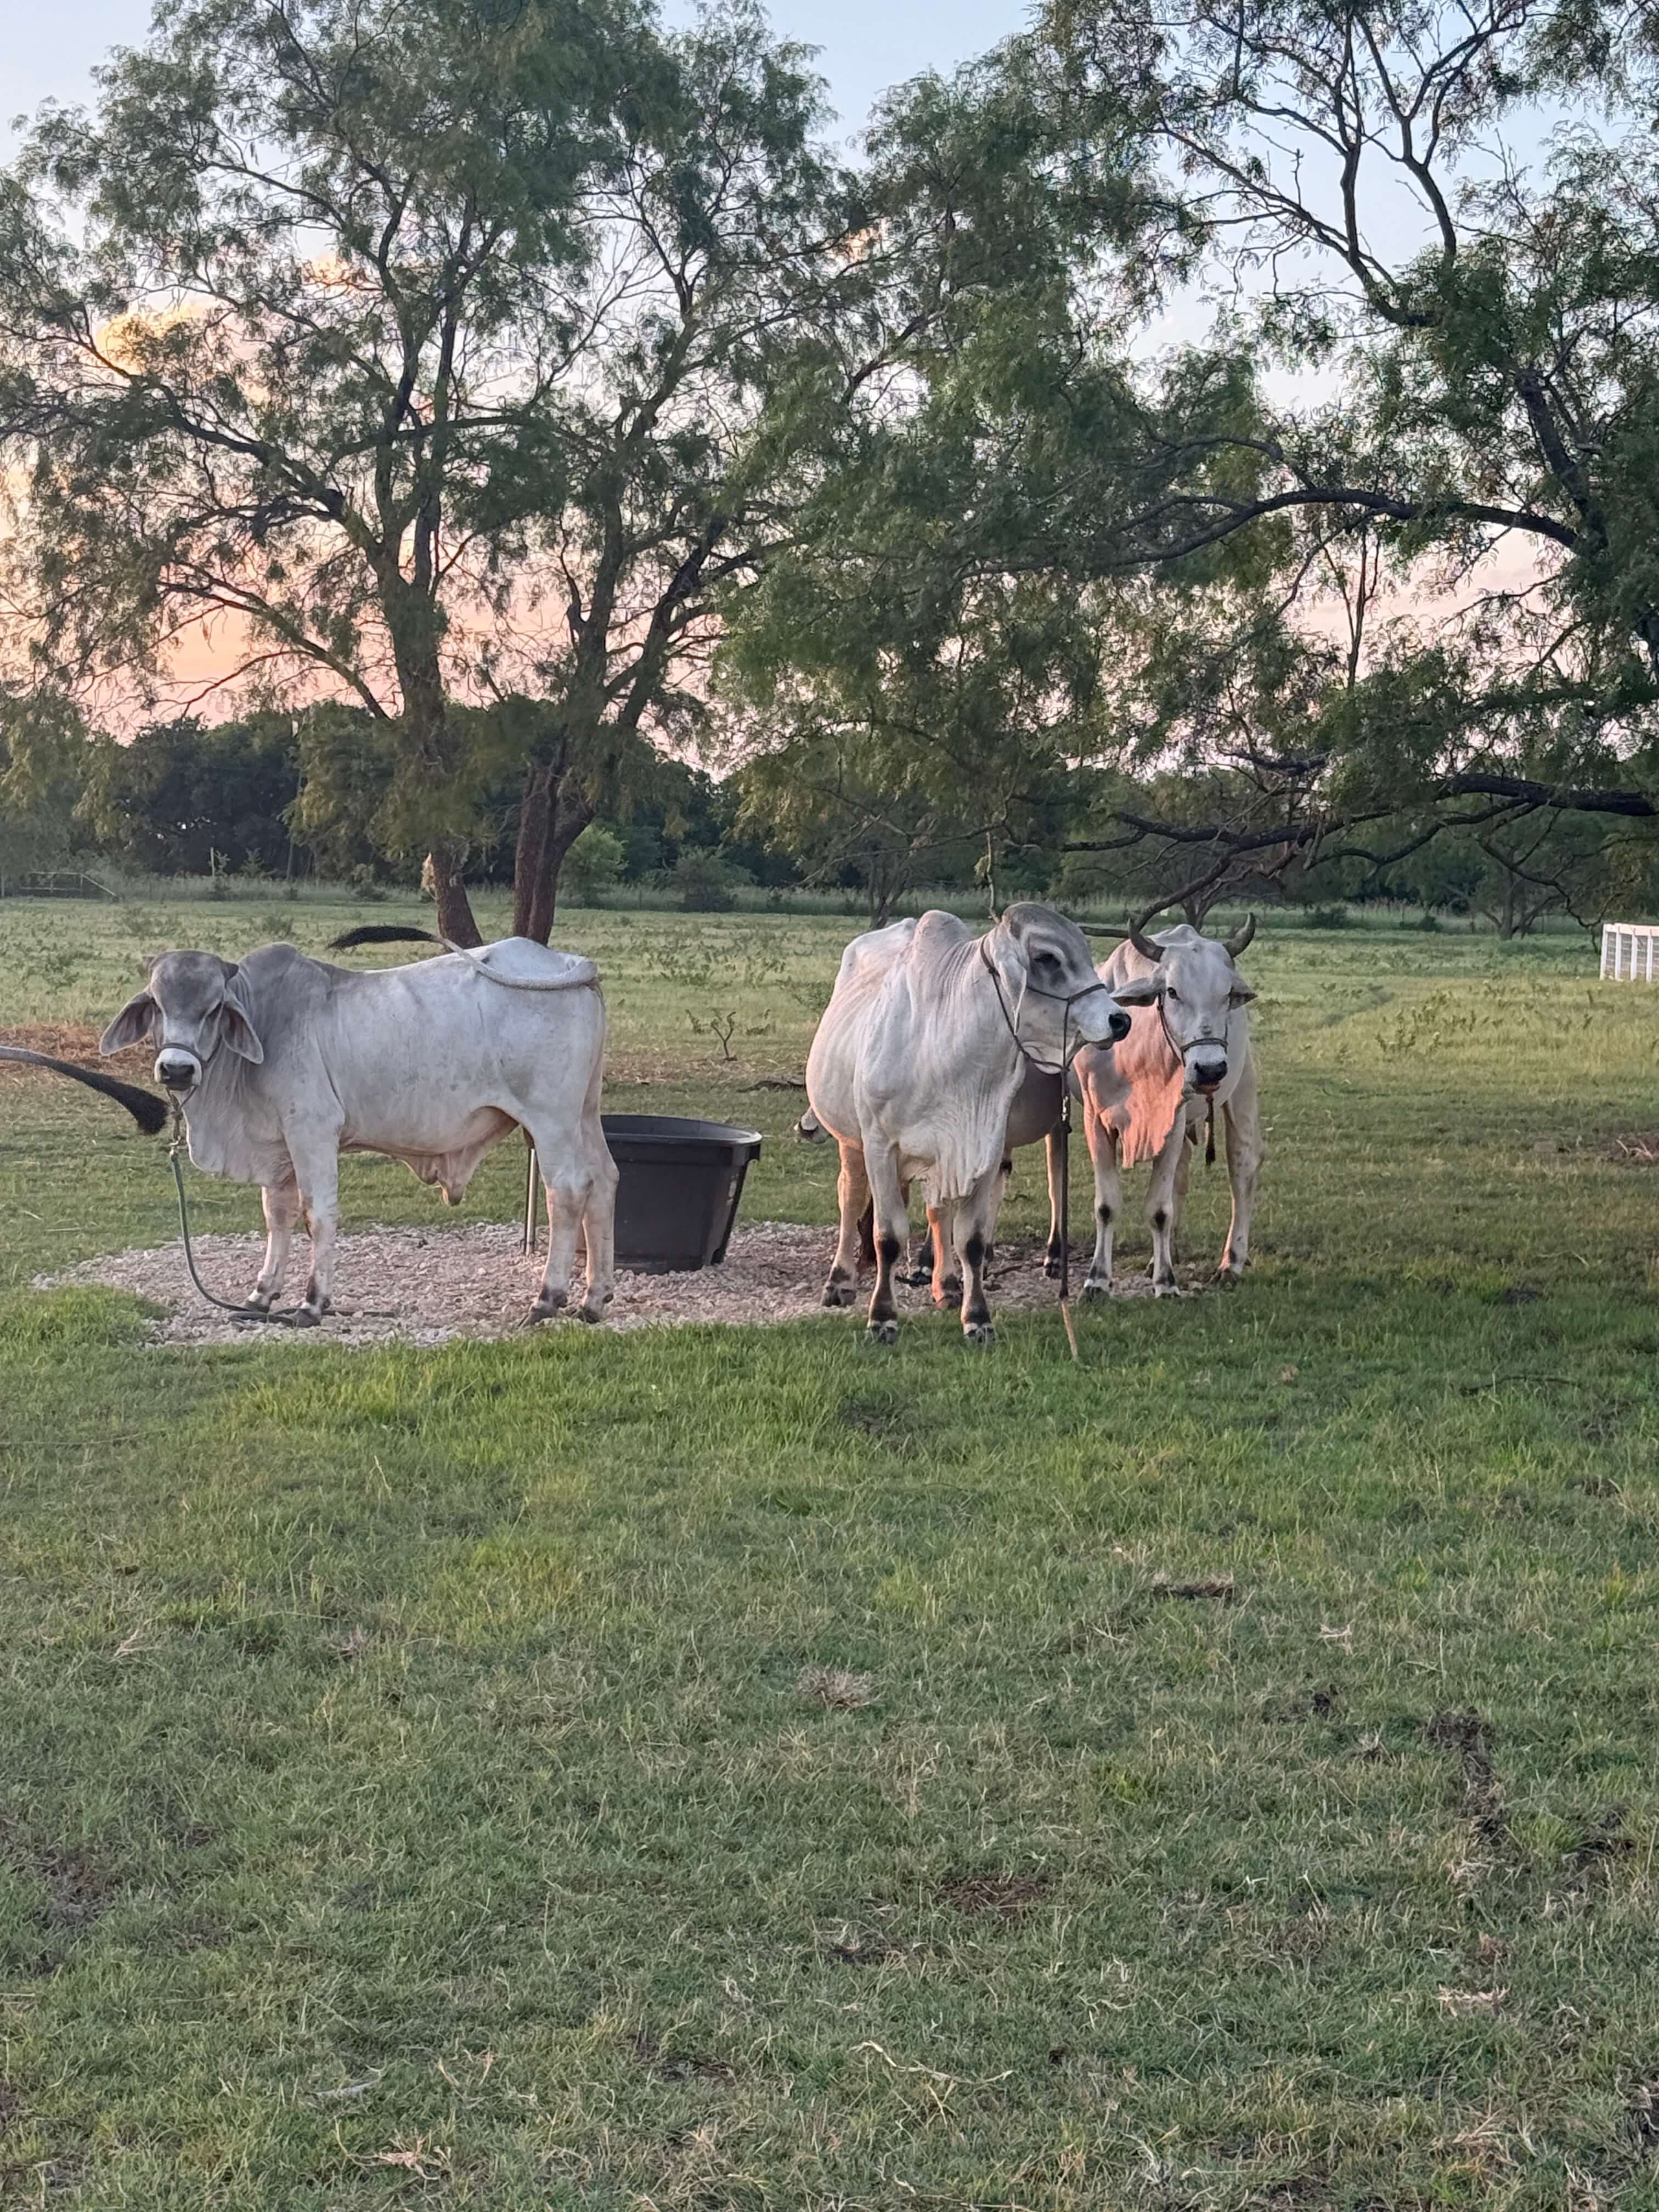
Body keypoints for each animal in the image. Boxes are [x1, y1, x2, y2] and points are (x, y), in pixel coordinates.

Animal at [61, 931, 619, 1326]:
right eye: (156, 1004)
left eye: (215, 1007)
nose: (176, 1070)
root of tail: (569, 963)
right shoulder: (278, 1148)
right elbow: (277, 1216)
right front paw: (261, 1295)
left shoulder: (312, 1130)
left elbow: (318, 1214)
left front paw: (312, 1304)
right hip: (584, 1114)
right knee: (606, 1182)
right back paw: (595, 1299)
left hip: (550, 1120)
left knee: (567, 1190)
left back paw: (547, 1299)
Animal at [804, 905, 1152, 1343]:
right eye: (1047, 958)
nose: (1120, 1020)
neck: (945, 1047)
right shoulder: (881, 1146)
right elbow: (888, 1237)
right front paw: (882, 1318)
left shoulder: (980, 1148)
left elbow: (970, 1238)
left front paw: (977, 1317)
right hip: (851, 1141)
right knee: (850, 1197)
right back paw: (840, 1281)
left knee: (935, 1212)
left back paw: (944, 1285)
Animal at [1064, 916, 1262, 1297]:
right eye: (1171, 992)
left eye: (1227, 994)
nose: (1210, 1069)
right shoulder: (1095, 1119)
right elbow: (1106, 1206)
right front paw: (1098, 1280)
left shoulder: (1173, 1120)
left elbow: (1159, 1209)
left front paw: (1166, 1282)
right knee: (1181, 1177)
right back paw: (1167, 1253)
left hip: (1241, 1087)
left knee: (1242, 1168)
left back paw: (1231, 1262)